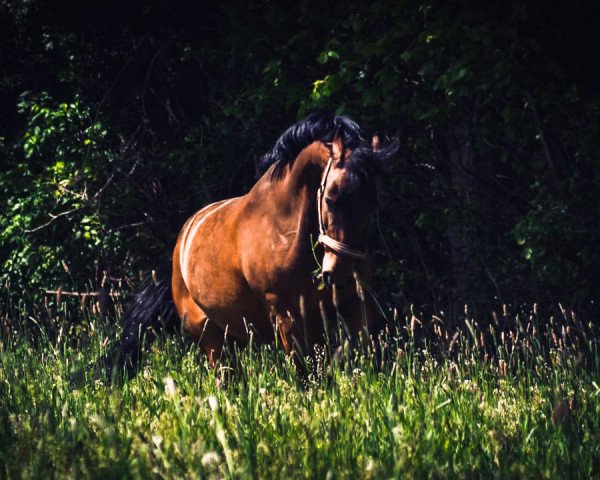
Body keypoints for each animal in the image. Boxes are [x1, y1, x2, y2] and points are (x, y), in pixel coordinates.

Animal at [108, 113, 398, 376]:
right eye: (331, 199)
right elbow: (307, 375)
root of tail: (178, 249)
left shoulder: (351, 306)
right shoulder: (287, 318)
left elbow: (353, 349)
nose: (341, 274)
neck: (287, 233)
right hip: (210, 338)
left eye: (373, 204)